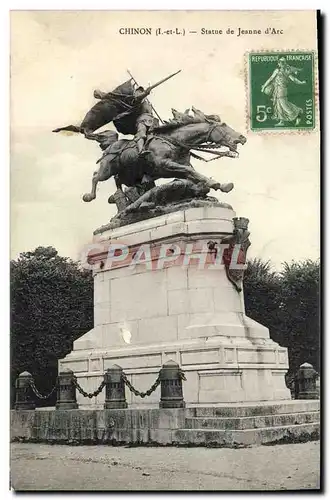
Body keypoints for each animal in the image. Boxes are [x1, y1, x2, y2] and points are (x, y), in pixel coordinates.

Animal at [82, 115, 246, 203]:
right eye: (223, 125)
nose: (242, 138)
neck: (174, 142)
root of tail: (109, 146)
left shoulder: (180, 167)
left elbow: (192, 174)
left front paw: (218, 186)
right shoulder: (165, 166)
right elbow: (190, 172)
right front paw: (216, 184)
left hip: (128, 175)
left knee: (119, 181)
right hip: (107, 170)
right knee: (96, 176)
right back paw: (89, 196)